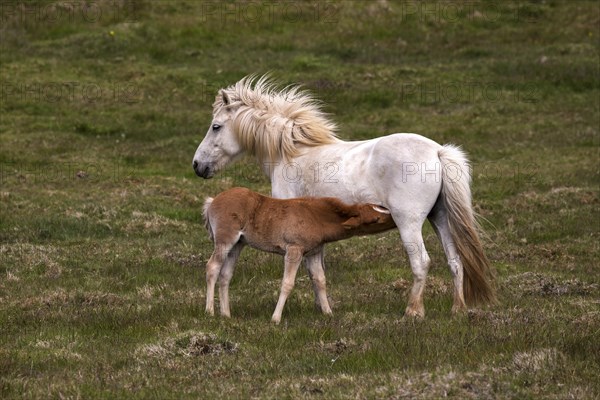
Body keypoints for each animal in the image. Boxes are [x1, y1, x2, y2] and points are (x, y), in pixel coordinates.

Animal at [191, 76, 492, 318]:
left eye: (216, 126)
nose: (197, 165)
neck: (293, 152)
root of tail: (438, 151)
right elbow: (317, 273)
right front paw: (322, 309)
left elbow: (312, 272)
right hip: (439, 219)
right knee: (455, 261)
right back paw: (457, 310)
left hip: (409, 223)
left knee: (421, 263)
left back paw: (413, 312)